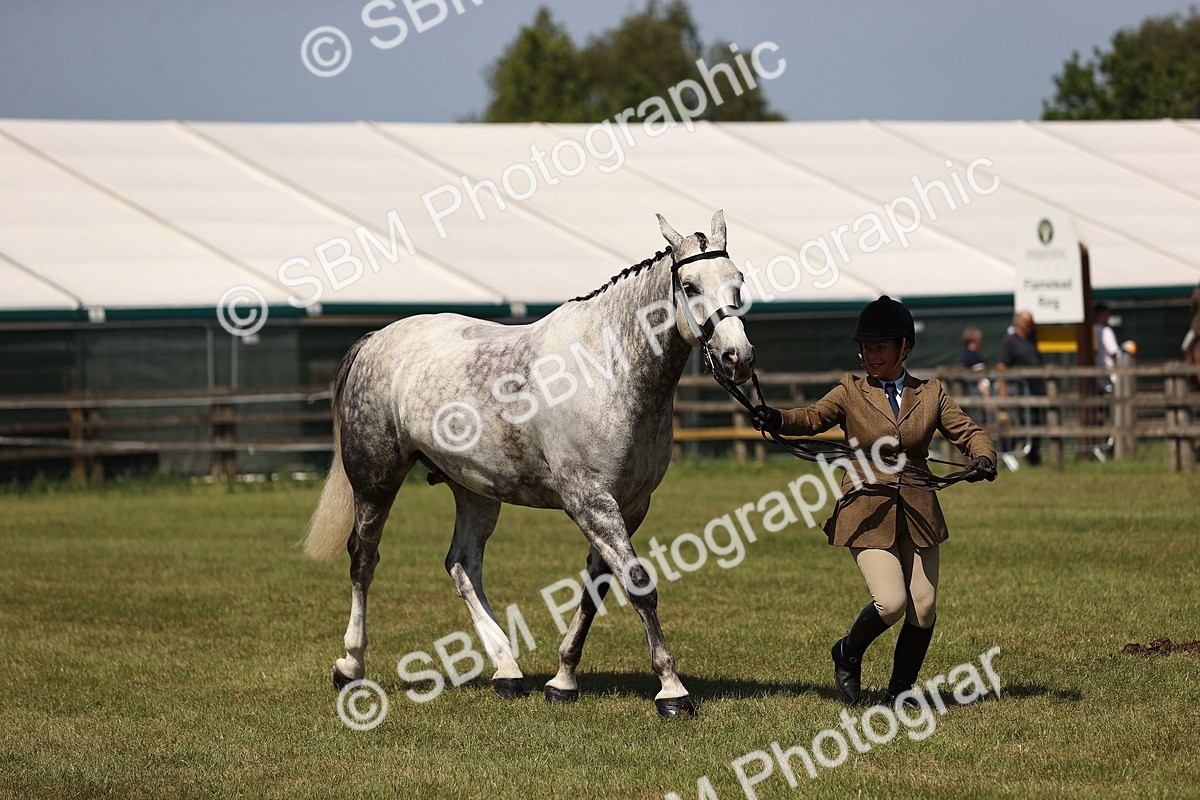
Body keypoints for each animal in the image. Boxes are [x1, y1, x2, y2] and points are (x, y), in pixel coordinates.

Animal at [303, 210, 755, 717]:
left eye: (738, 281)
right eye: (691, 285)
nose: (738, 358)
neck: (606, 369)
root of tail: (375, 340)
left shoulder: (630, 506)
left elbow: (595, 589)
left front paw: (562, 679)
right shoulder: (591, 502)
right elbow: (638, 583)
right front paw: (672, 690)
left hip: (474, 491)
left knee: (462, 565)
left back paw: (507, 669)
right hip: (375, 480)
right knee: (363, 560)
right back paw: (351, 666)